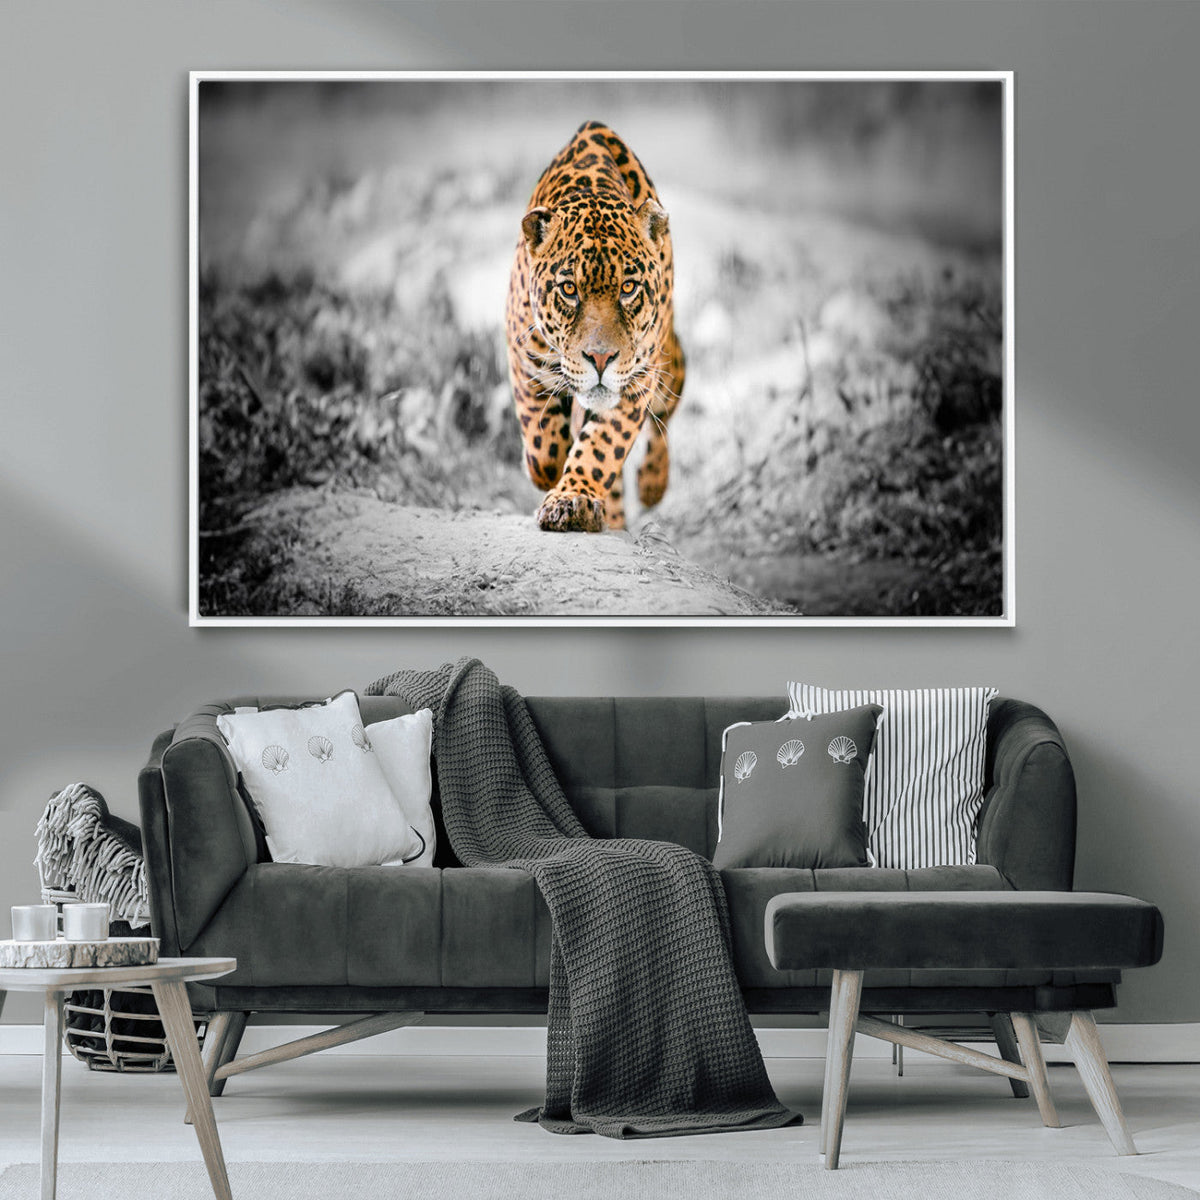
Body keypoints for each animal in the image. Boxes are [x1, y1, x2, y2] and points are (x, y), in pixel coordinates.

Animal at [505, 121, 686, 533]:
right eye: (569, 290)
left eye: (629, 288)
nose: (600, 359)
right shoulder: (523, 357)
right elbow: (543, 445)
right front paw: (549, 471)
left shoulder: (637, 379)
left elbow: (602, 446)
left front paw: (572, 499)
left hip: (669, 363)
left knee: (665, 417)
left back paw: (652, 484)